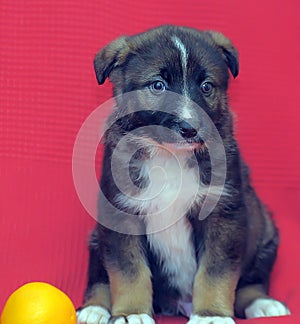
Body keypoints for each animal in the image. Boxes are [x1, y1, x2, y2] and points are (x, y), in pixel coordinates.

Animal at [77, 26, 290, 324]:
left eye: (206, 86)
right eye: (157, 85)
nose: (191, 129)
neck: (170, 156)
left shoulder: (223, 213)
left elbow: (216, 271)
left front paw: (211, 314)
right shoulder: (120, 213)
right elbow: (128, 271)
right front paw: (131, 312)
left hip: (264, 230)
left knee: (253, 280)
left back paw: (263, 303)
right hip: (97, 237)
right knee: (99, 276)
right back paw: (94, 308)